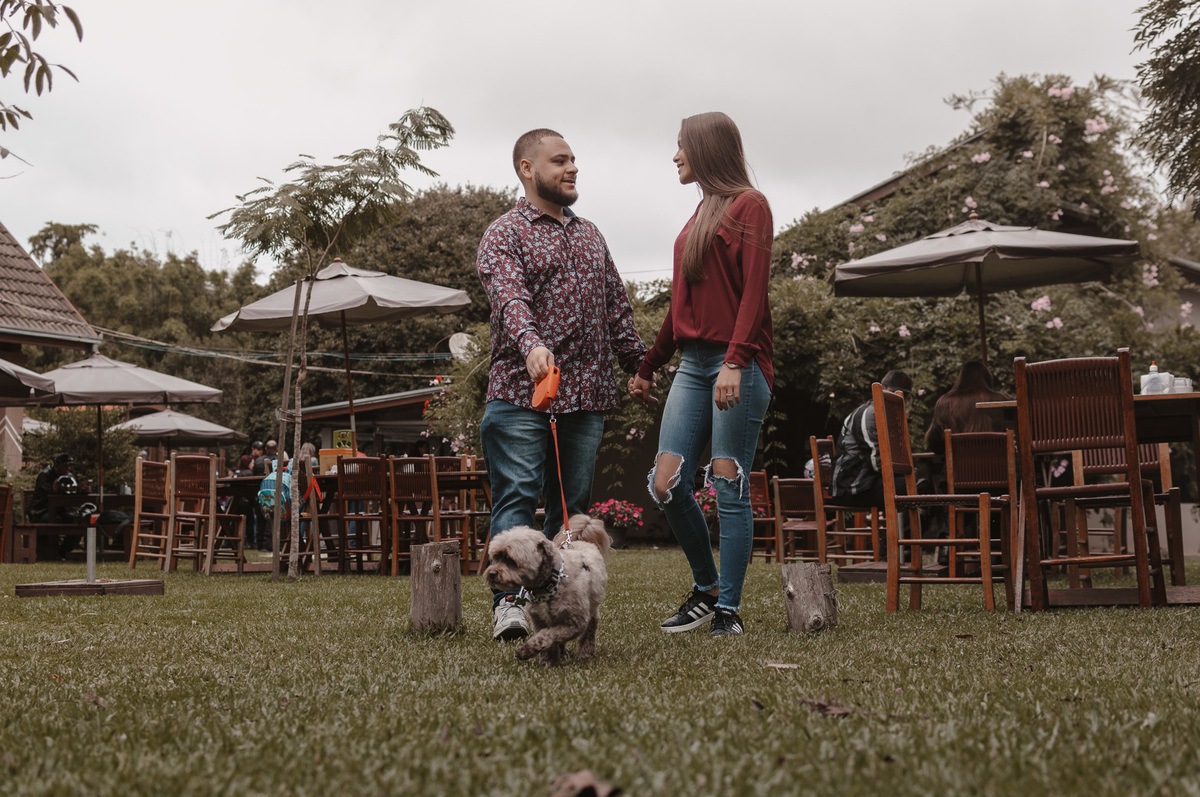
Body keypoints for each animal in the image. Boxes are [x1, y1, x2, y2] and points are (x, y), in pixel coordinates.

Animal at [483, 514, 610, 666]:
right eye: (496, 557)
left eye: (510, 560)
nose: (491, 573)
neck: (549, 586)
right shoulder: (539, 620)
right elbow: (547, 639)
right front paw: (547, 662)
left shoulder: (575, 622)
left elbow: (548, 635)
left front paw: (527, 650)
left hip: (592, 609)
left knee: (589, 631)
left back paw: (585, 654)